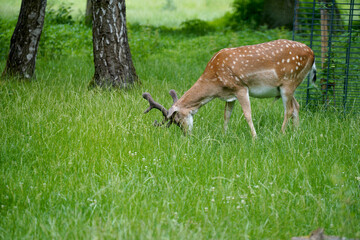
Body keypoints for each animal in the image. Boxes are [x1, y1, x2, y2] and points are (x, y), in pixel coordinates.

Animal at [142, 38, 316, 138]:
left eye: (177, 120)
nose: (186, 135)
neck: (215, 83)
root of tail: (312, 54)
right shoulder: (230, 94)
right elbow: (226, 115)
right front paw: (224, 135)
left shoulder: (240, 87)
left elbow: (247, 114)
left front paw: (255, 138)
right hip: (287, 86)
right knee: (297, 106)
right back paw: (295, 133)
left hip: (289, 82)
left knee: (289, 109)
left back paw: (281, 134)